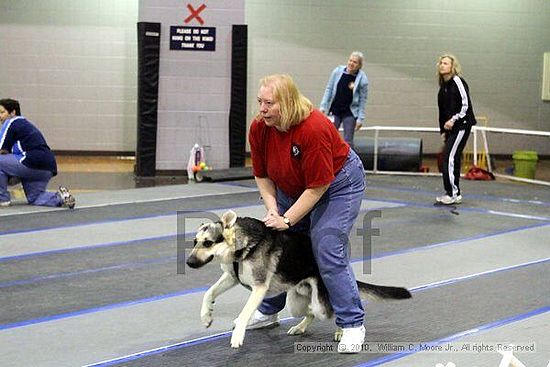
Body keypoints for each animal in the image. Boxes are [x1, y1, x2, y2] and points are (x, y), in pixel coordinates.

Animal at [188, 211, 412, 350]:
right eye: (195, 242)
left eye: (208, 243)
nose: (189, 263)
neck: (242, 245)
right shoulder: (231, 277)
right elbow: (209, 293)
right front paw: (206, 316)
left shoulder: (259, 287)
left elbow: (244, 314)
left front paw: (237, 337)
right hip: (296, 302)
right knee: (310, 312)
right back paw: (300, 327)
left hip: (321, 303)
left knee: (334, 308)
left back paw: (343, 331)